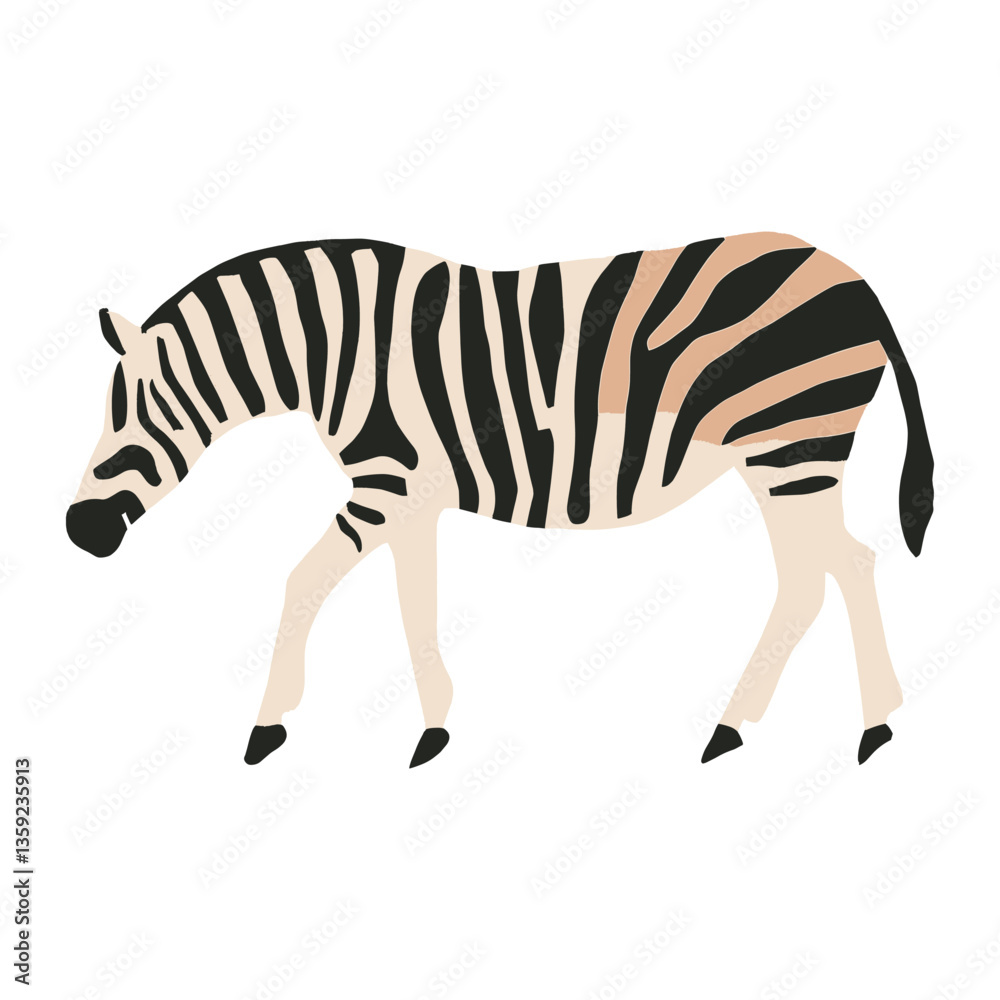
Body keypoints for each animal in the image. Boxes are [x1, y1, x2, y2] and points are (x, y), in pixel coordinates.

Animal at [66, 232, 934, 769]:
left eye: (130, 413)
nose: (79, 530)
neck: (336, 353)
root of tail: (854, 279)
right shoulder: (410, 496)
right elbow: (414, 603)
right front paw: (434, 730)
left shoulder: (386, 485)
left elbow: (303, 579)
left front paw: (268, 724)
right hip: (791, 455)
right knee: (840, 568)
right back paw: (853, 726)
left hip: (791, 446)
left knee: (821, 574)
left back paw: (766, 726)